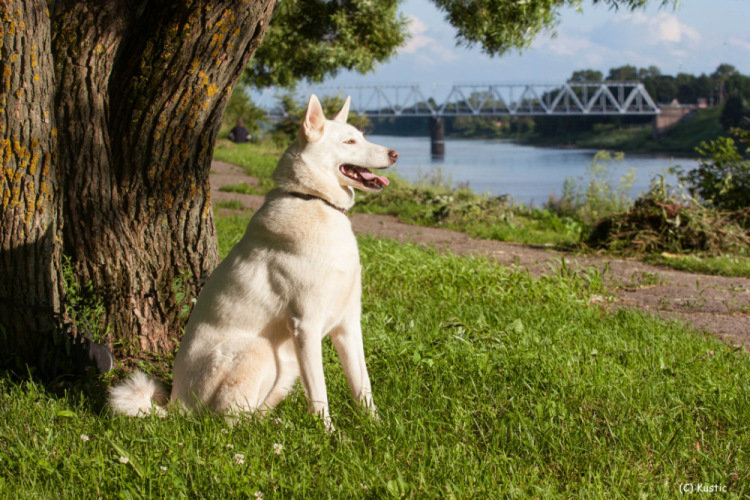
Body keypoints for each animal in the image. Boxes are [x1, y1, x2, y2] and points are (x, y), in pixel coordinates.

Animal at [111, 94, 400, 430]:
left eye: (362, 136)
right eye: (350, 141)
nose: (395, 153)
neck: (313, 200)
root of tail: (176, 405)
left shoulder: (348, 325)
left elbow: (362, 386)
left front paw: (376, 427)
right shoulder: (306, 325)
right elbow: (319, 394)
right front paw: (329, 434)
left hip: (286, 363)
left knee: (252, 414)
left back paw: (280, 425)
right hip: (259, 351)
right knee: (230, 420)